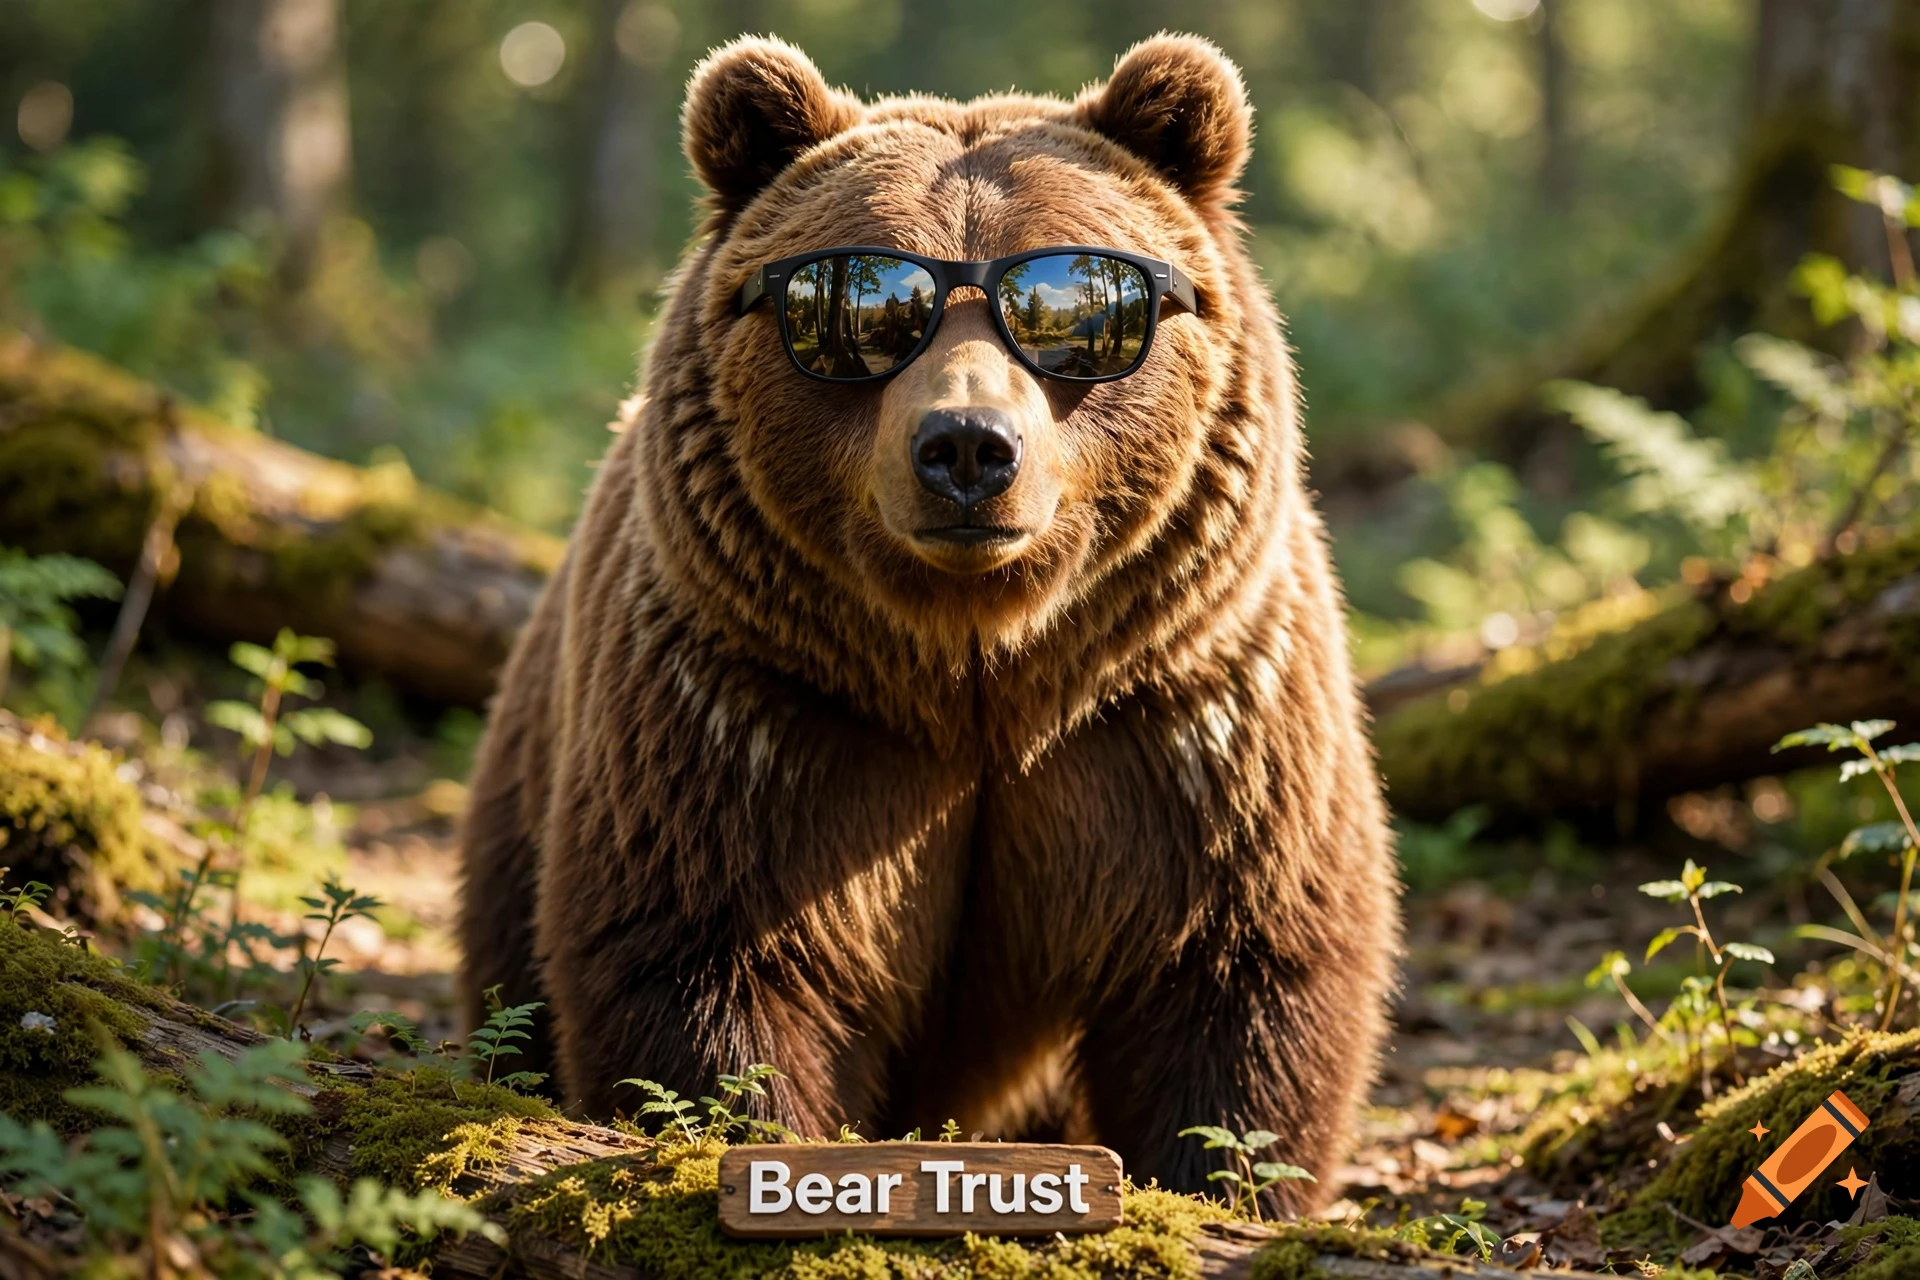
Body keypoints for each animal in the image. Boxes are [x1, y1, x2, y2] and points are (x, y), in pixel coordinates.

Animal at [458, 32, 1399, 1210]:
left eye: (1074, 302)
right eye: (866, 307)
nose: (966, 447)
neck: (978, 670)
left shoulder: (1188, 722)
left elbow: (1237, 981)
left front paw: (1222, 1182)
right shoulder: (756, 716)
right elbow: (709, 964)